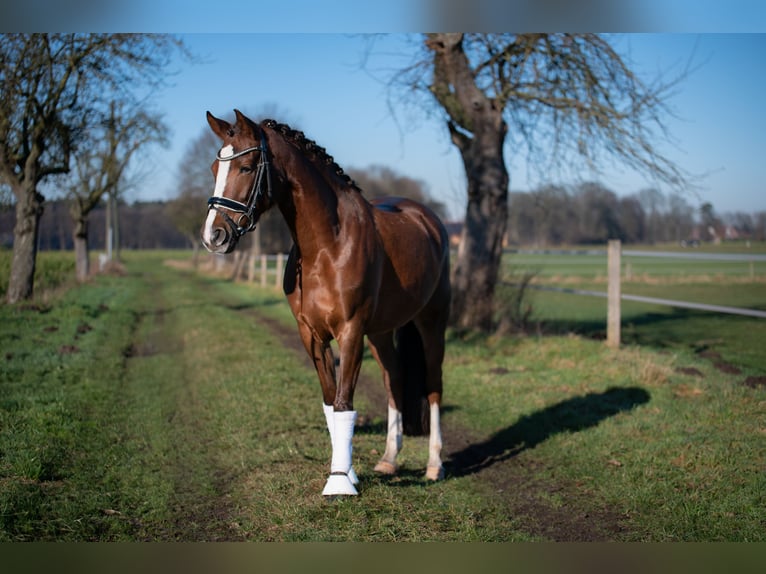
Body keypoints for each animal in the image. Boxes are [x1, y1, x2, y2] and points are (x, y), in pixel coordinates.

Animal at [202, 110, 450, 498]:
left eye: (246, 167)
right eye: (215, 168)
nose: (214, 236)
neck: (327, 244)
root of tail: (429, 220)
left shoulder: (350, 332)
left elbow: (345, 403)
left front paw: (339, 483)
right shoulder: (312, 335)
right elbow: (331, 404)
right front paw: (348, 473)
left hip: (432, 322)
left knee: (433, 383)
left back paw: (434, 464)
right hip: (381, 332)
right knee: (394, 379)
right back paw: (389, 459)